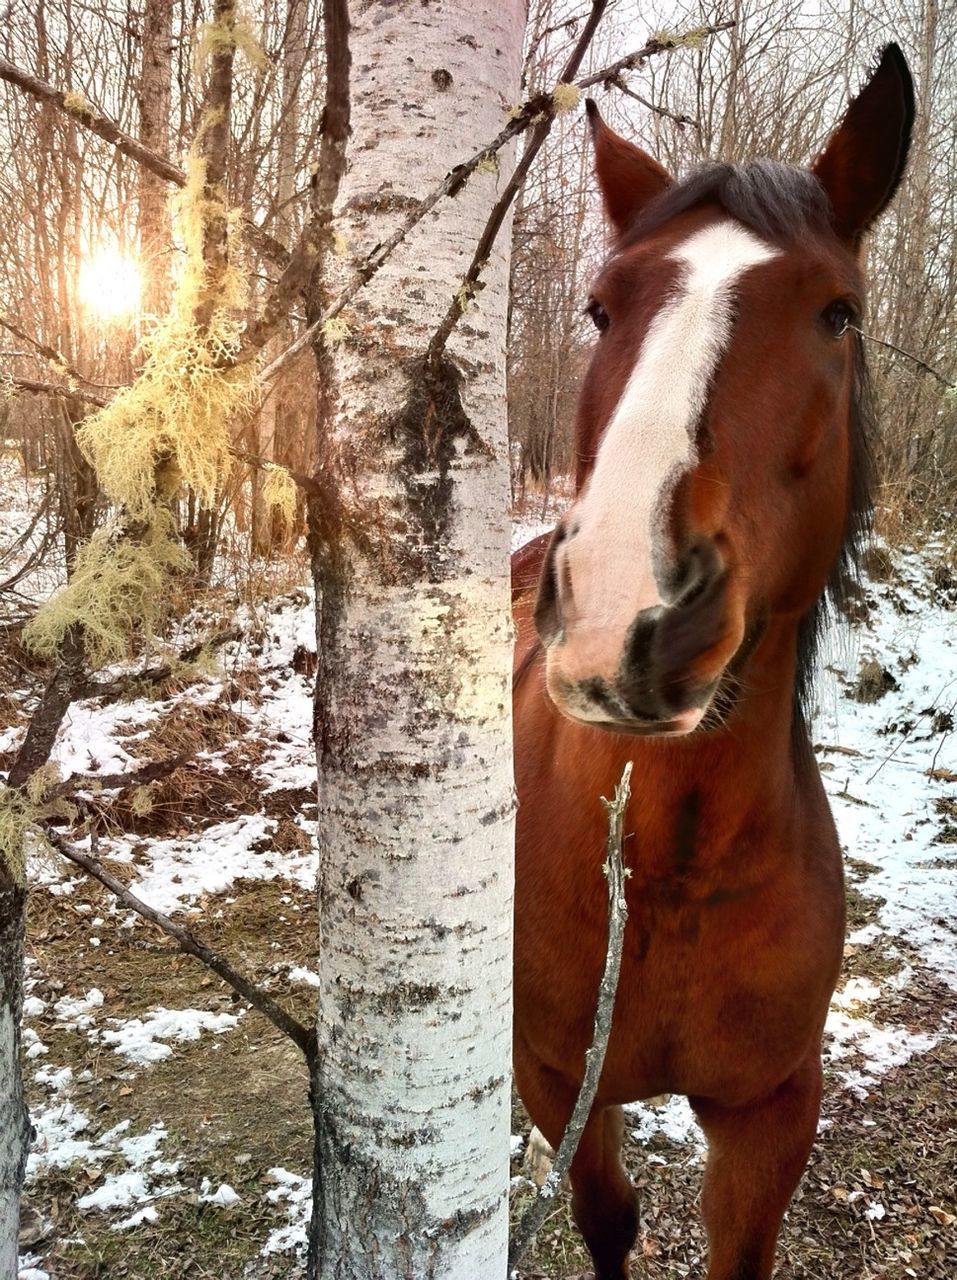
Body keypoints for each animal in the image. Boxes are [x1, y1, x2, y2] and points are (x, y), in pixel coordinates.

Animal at [511, 42, 916, 1280]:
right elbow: (605, 1214)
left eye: (839, 312)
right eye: (600, 308)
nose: (625, 611)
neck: (672, 868)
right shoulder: (563, 1082)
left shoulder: (771, 1110)